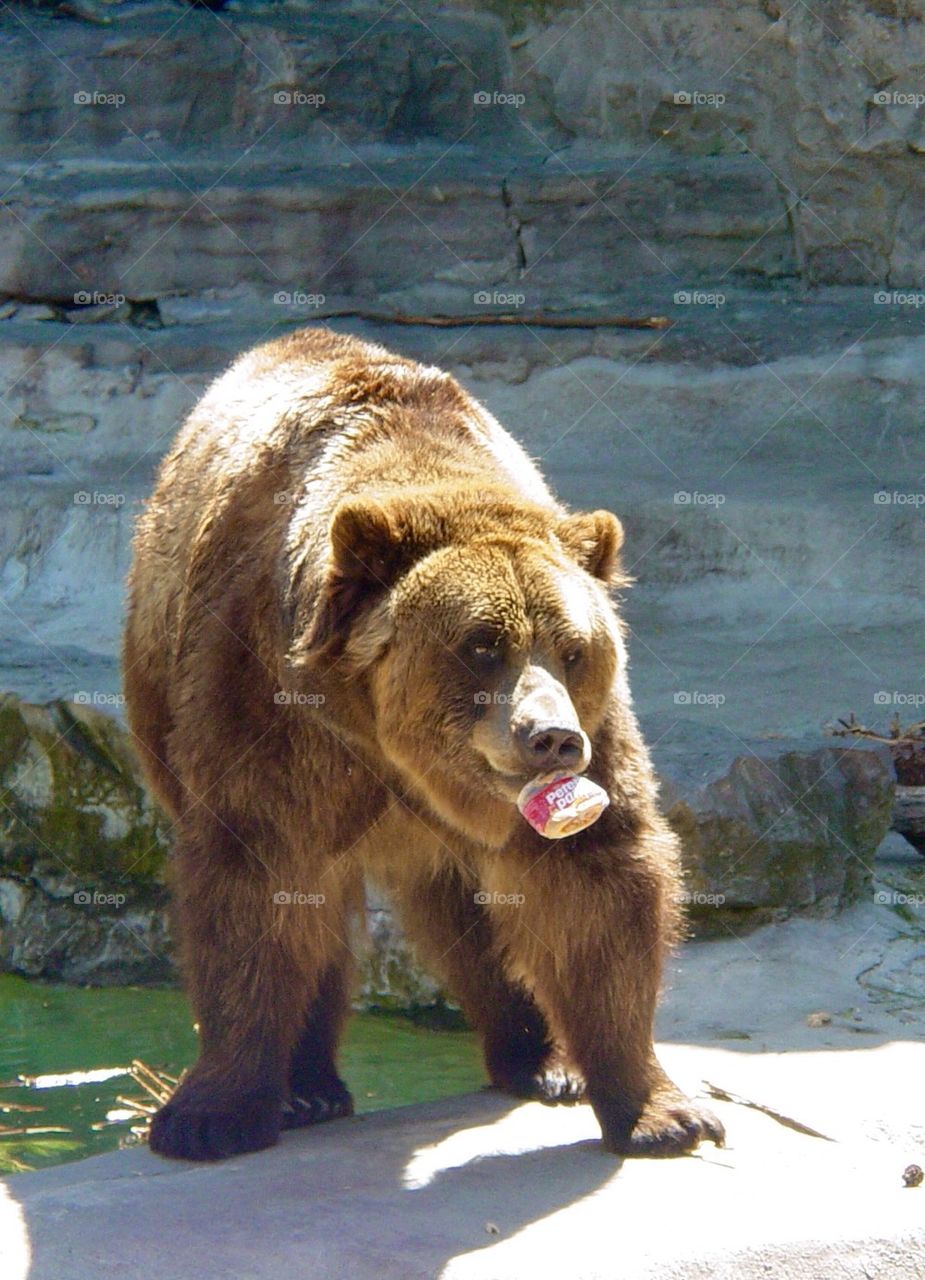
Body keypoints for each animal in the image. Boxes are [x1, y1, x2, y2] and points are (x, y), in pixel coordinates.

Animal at [123, 326, 724, 1162]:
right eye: (481, 645)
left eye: (573, 649)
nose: (550, 739)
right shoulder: (268, 706)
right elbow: (258, 878)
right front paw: (210, 1115)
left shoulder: (599, 735)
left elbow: (593, 884)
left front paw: (656, 1110)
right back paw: (308, 1087)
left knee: (467, 917)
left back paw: (540, 1057)